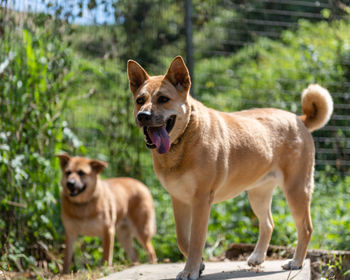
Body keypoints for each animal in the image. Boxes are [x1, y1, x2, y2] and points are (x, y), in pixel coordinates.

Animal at [128, 55, 334, 278]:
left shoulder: (201, 201)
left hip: (296, 190)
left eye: (163, 99)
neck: (183, 139)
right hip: (258, 194)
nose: (143, 115)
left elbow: (196, 240)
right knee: (268, 224)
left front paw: (191, 270)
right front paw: (199, 265)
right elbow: (183, 240)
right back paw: (257, 256)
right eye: (140, 100)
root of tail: (299, 119)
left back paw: (296, 262)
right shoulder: (179, 200)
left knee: (305, 227)